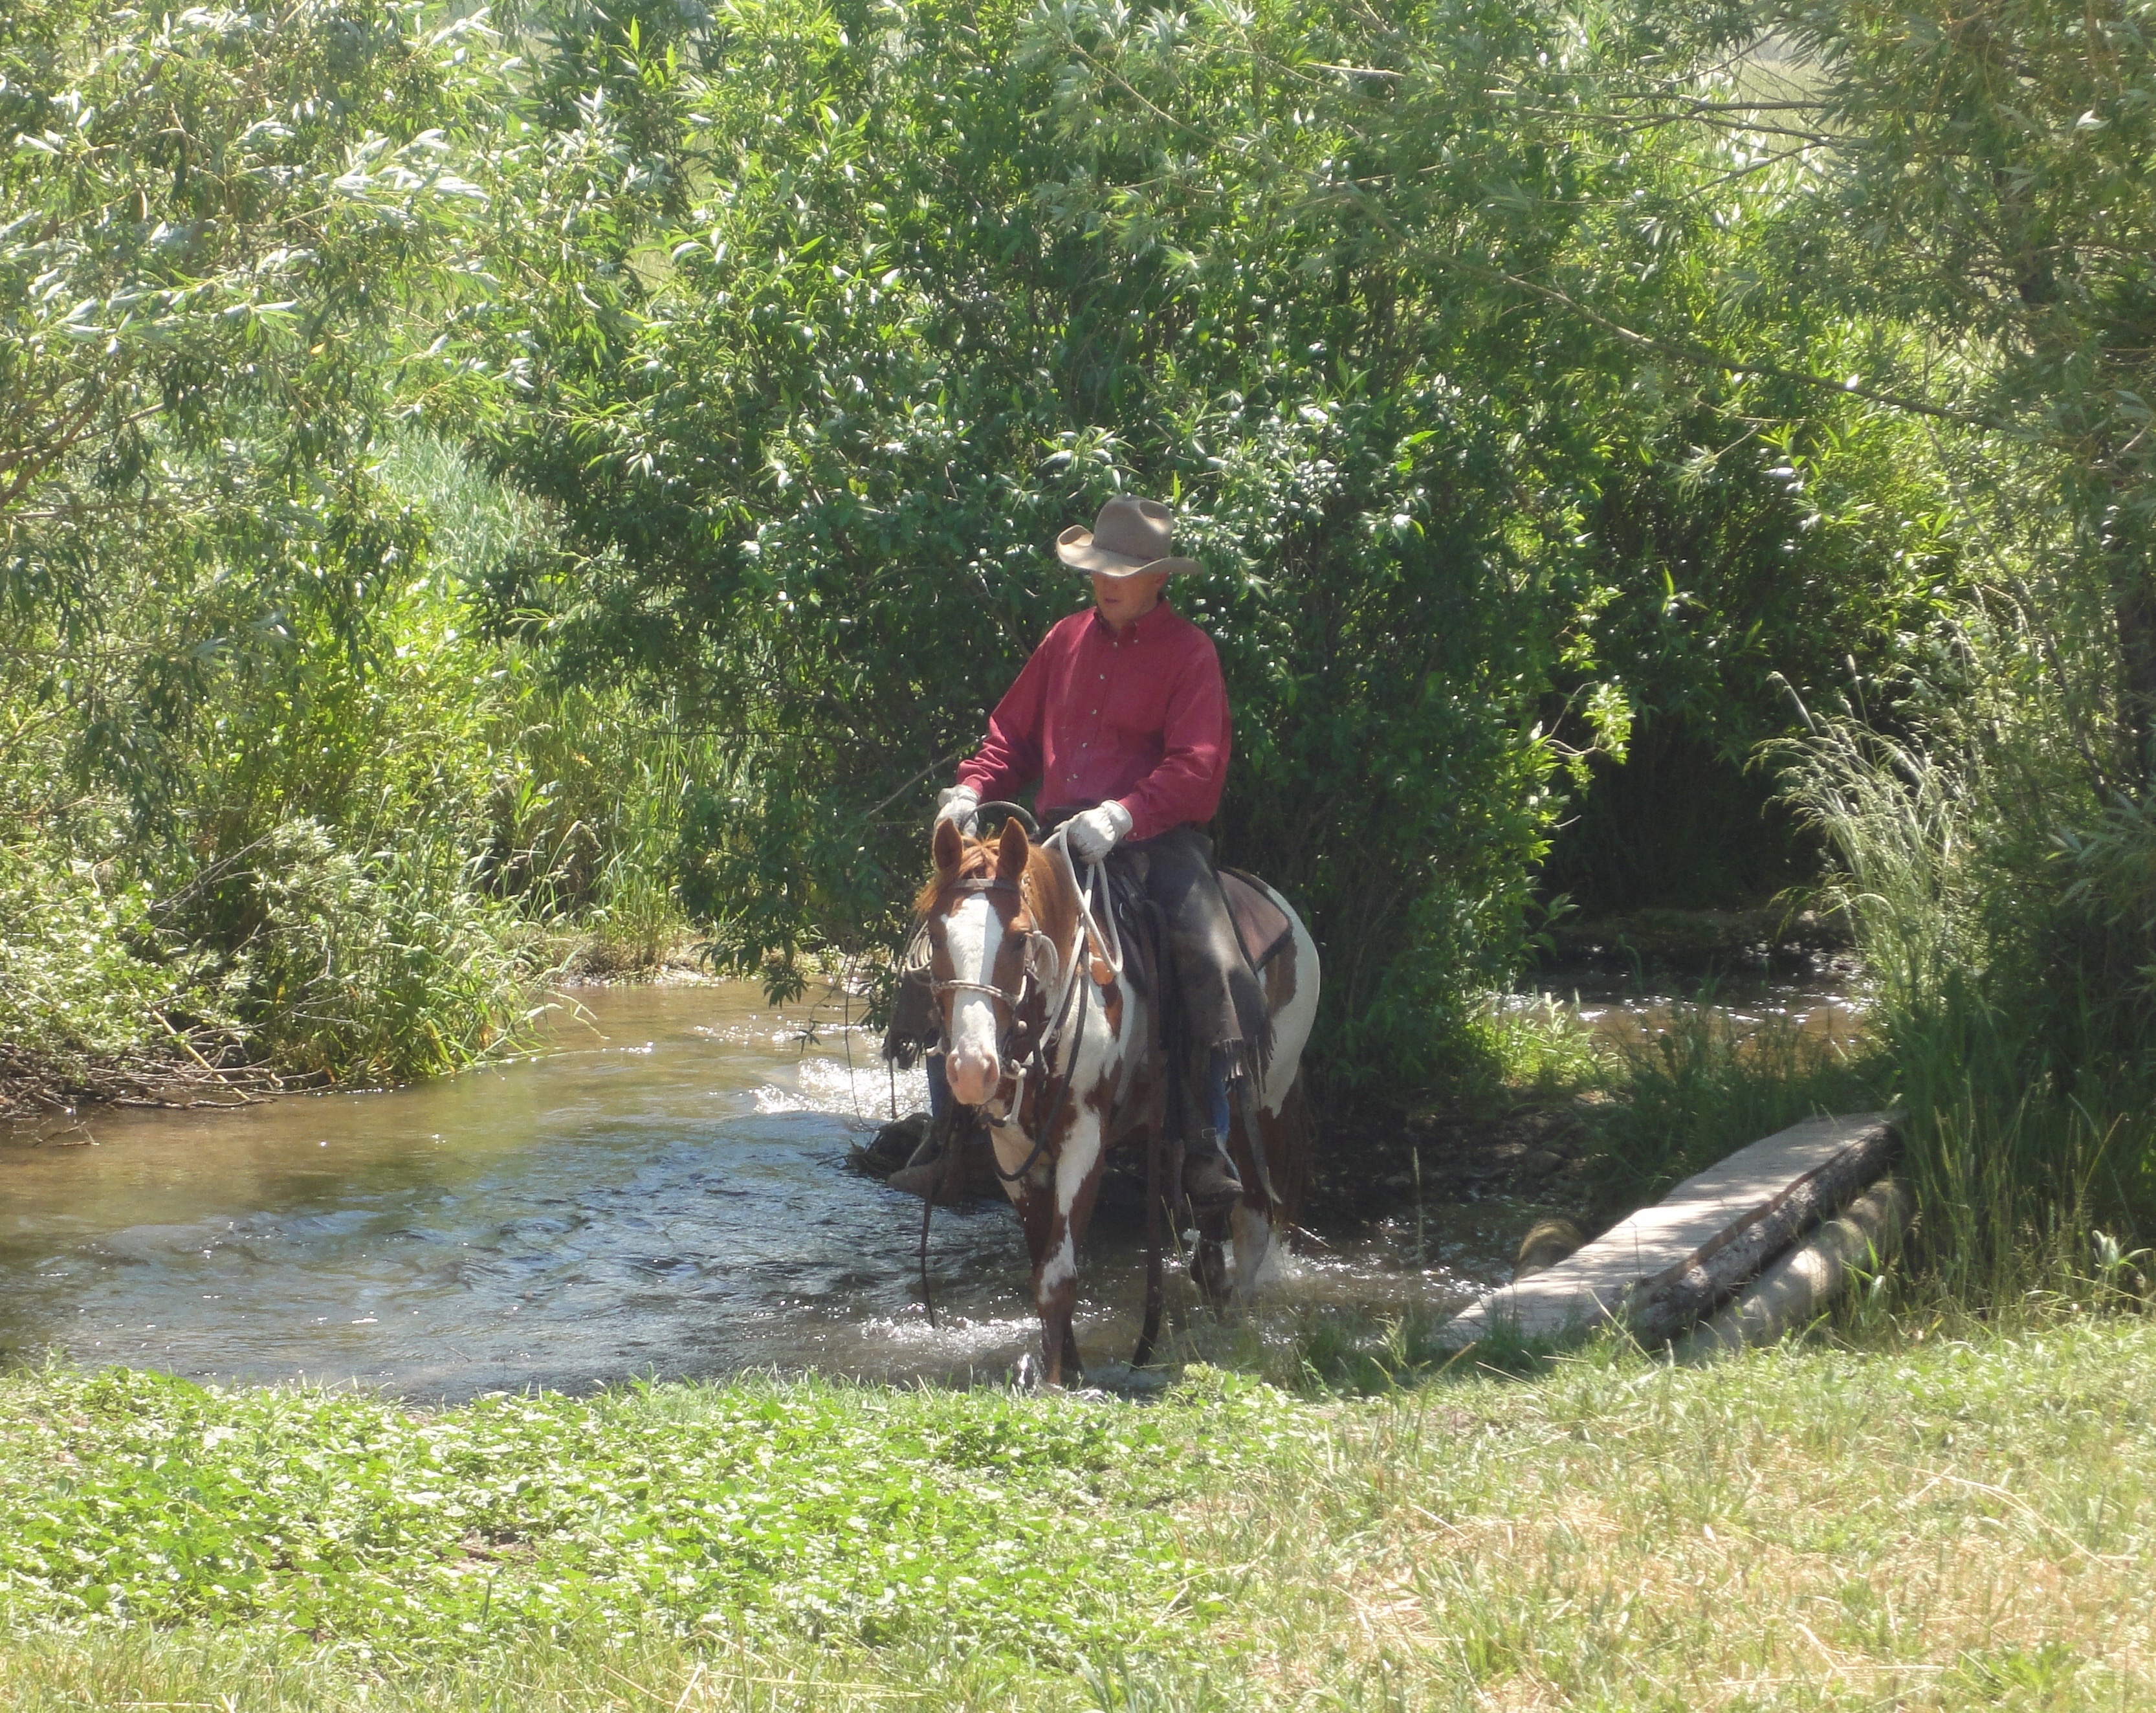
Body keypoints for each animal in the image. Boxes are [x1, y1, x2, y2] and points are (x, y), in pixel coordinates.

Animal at [918, 806, 1319, 1380]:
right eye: (936, 934)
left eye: (1019, 938)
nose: (972, 1067)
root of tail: (1280, 906)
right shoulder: (1014, 1153)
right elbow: (1043, 1261)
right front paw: (1067, 1368)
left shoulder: (1085, 1137)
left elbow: (1058, 1277)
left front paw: (1056, 1384)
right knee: (1213, 1226)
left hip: (1265, 1104)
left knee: (1254, 1225)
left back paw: (1232, 1330)